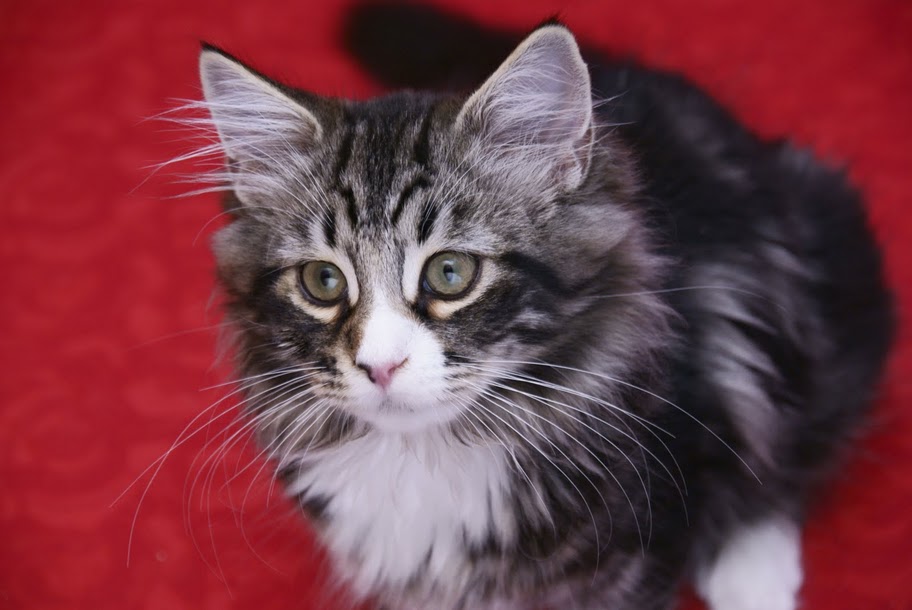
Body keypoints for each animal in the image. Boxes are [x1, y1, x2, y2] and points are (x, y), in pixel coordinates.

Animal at [189, 10, 896, 608]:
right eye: (323, 282)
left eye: (451, 273)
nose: (379, 367)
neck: (428, 453)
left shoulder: (634, 551)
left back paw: (754, 576)